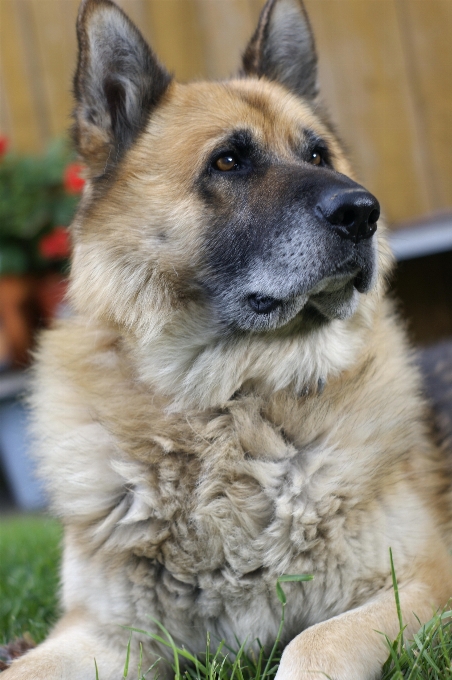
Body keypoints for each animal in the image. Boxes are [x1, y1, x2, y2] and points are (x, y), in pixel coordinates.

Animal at [4, 1, 452, 680]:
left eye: (319, 155)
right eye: (229, 162)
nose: (364, 212)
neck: (224, 409)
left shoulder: (419, 587)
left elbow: (309, 645)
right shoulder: (101, 631)